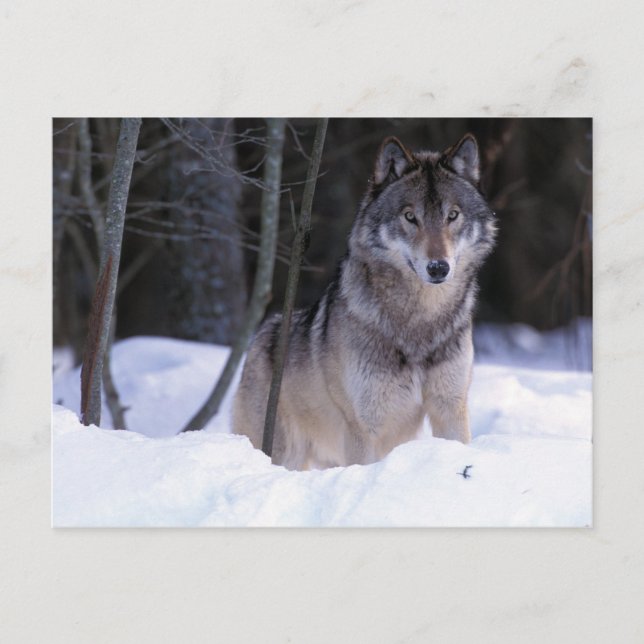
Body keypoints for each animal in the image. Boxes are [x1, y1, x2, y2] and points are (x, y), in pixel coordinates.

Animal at [233, 133, 497, 470]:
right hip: (285, 453)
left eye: (452, 215)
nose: (438, 267)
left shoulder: (450, 409)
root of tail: (260, 336)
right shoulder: (363, 427)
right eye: (410, 217)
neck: (420, 322)